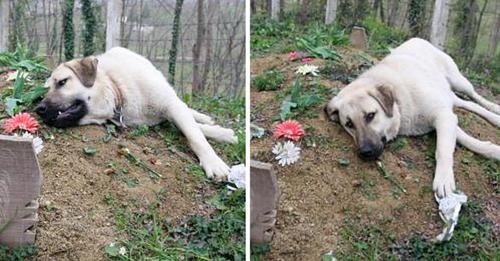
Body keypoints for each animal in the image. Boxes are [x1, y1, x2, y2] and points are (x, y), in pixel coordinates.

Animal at [35, 46, 238, 180]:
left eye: (62, 82)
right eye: (44, 92)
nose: (39, 109)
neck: (117, 89)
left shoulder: (170, 105)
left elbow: (194, 134)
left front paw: (214, 160)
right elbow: (192, 129)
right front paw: (223, 134)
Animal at [324, 38, 500, 197]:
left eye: (370, 115)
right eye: (349, 124)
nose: (365, 152)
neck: (399, 101)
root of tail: (417, 39)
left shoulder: (442, 115)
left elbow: (443, 149)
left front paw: (443, 179)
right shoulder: (445, 115)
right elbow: (463, 138)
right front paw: (492, 150)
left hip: (459, 82)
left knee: (475, 96)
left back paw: (494, 110)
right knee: (467, 104)